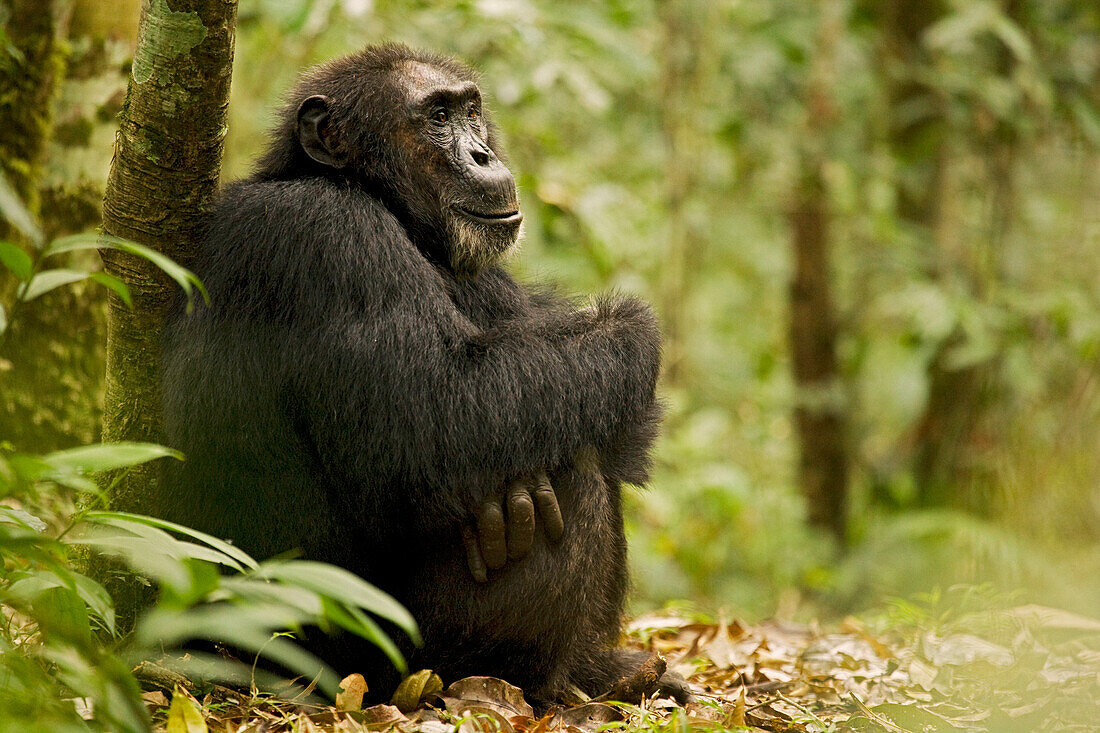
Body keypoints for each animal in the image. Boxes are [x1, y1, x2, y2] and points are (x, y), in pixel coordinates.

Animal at [160, 42, 686, 704]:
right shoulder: (330, 237)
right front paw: (631, 329)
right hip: (380, 662)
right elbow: (439, 417)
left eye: (470, 111)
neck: (370, 194)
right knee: (564, 462)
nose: (483, 153)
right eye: (437, 117)